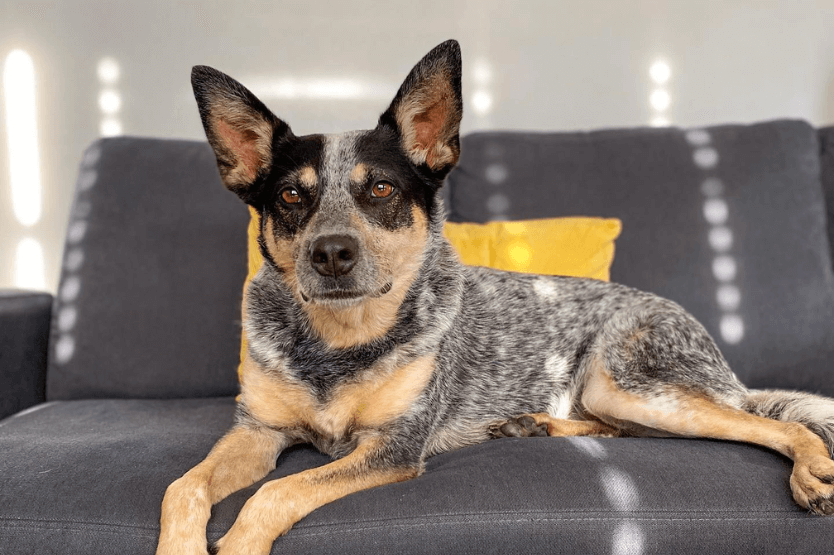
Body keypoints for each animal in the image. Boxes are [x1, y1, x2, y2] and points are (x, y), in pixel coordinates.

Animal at [156, 40, 832, 555]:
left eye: (381, 189)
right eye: (291, 197)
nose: (330, 253)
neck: (338, 342)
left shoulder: (392, 447)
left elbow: (278, 491)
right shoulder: (257, 431)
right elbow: (181, 488)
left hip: (629, 382)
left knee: (769, 426)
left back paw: (810, 470)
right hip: (615, 396)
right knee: (638, 433)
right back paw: (536, 424)